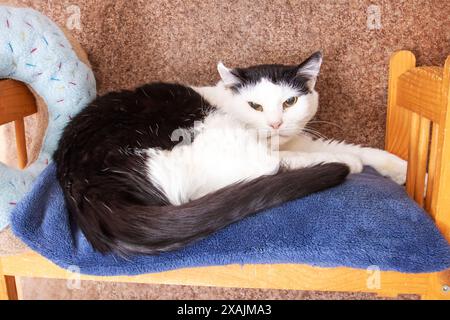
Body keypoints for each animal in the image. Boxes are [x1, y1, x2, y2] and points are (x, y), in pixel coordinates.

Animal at [54, 52, 406, 255]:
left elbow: (340, 144)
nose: (276, 123)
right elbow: (304, 156)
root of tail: (90, 190)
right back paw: (343, 165)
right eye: (255, 106)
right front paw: (353, 161)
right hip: (204, 131)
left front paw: (396, 165)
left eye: (290, 102)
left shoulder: (292, 139)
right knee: (264, 169)